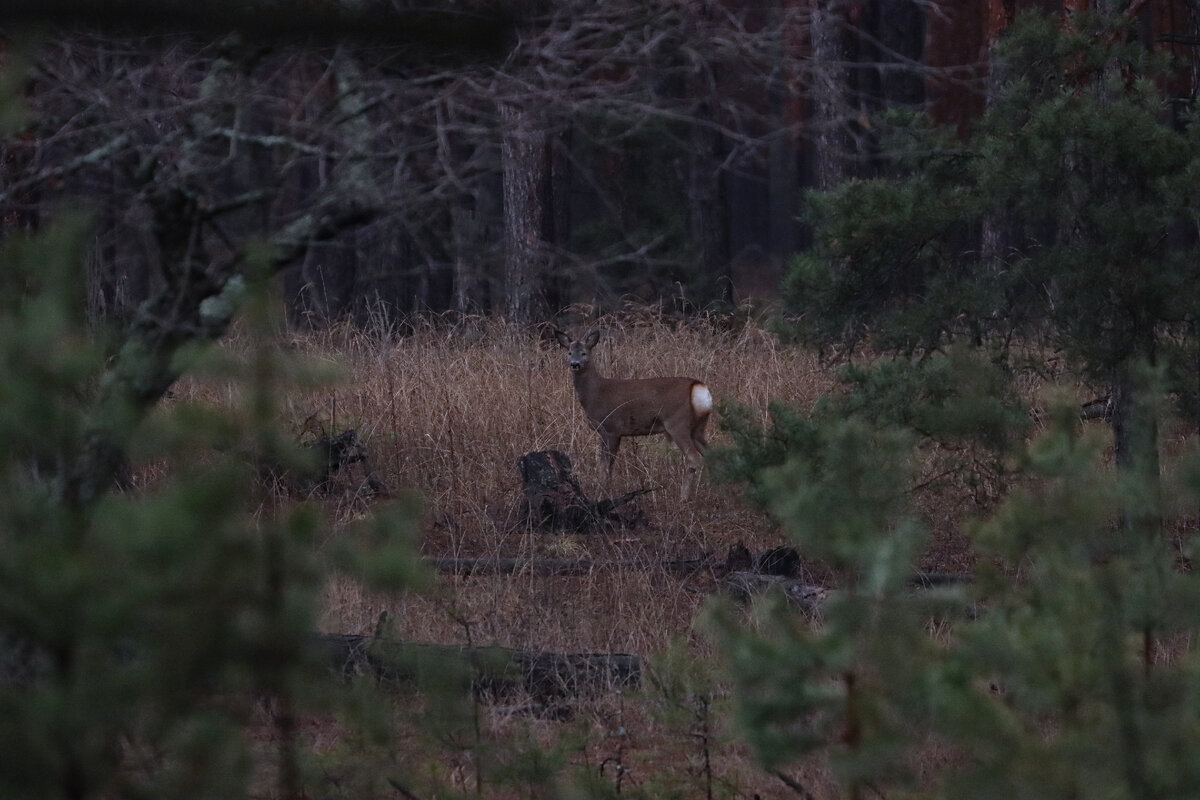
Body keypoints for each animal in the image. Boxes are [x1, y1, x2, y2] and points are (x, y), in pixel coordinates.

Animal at [552, 328, 710, 496]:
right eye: (569, 352)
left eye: (584, 352)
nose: (574, 364)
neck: (595, 394)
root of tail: (700, 388)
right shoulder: (607, 432)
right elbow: (606, 466)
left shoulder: (612, 427)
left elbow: (605, 467)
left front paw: (603, 491)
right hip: (698, 428)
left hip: (677, 423)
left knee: (694, 458)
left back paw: (684, 497)